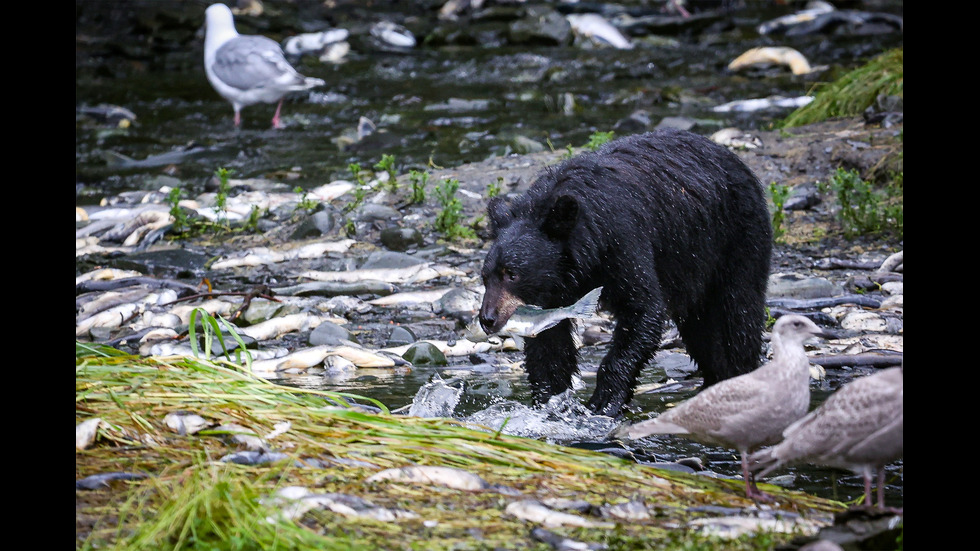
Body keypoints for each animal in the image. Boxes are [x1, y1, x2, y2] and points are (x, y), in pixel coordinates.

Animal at [480, 127, 772, 416]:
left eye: (512, 274)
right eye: (485, 277)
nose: (487, 319)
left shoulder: (622, 242)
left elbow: (643, 310)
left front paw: (604, 401)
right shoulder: (551, 292)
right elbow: (549, 343)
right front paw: (549, 402)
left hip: (736, 238)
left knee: (737, 316)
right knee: (702, 330)